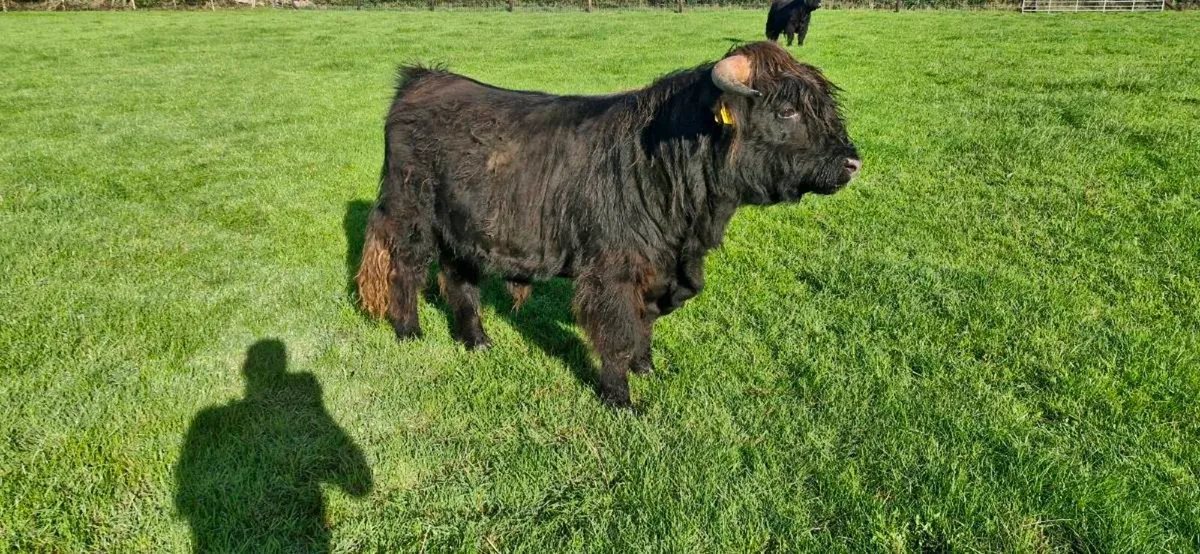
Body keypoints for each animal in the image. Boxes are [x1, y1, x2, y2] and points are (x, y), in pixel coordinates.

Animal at [355, 41, 861, 408]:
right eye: (787, 110)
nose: (852, 161)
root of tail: (423, 77)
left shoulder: (657, 269)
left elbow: (644, 325)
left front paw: (646, 369)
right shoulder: (611, 270)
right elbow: (617, 331)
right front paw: (621, 399)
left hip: (468, 228)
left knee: (459, 279)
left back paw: (477, 341)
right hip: (410, 214)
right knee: (405, 271)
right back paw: (409, 332)